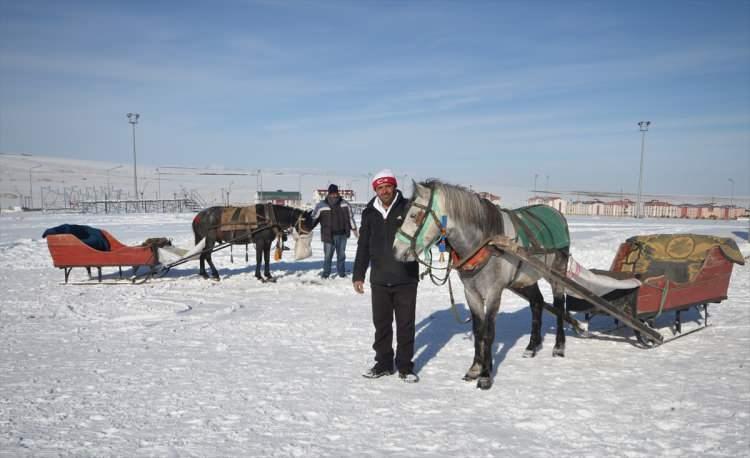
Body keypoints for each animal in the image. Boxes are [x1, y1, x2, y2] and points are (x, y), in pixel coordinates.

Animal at [394, 179, 568, 390]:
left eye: (414, 215)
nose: (396, 250)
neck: (485, 243)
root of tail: (557, 213)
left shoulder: (494, 292)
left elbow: (489, 332)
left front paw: (485, 376)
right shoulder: (471, 292)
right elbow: (478, 331)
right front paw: (475, 368)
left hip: (557, 273)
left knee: (559, 306)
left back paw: (559, 346)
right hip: (526, 278)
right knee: (537, 302)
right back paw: (532, 346)